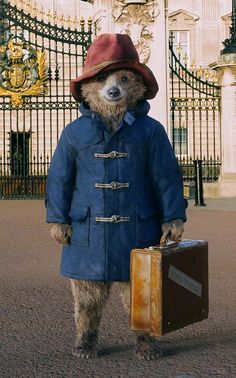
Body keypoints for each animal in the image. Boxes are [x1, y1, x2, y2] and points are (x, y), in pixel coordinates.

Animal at [46, 34, 186, 360]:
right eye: (99, 77)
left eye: (124, 77)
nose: (112, 91)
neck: (111, 121)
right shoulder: (68, 139)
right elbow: (61, 174)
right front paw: (59, 228)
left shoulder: (157, 139)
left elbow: (166, 174)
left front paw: (173, 225)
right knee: (87, 297)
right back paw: (85, 344)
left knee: (135, 296)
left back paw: (146, 344)